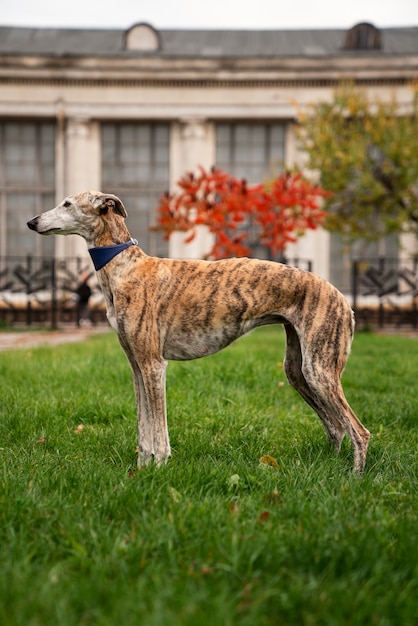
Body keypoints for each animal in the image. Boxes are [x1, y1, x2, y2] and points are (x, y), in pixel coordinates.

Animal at [27, 190, 370, 468]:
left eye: (67, 203)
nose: (31, 222)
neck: (126, 266)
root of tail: (343, 299)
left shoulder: (154, 365)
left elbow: (158, 429)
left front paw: (159, 467)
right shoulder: (136, 365)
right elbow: (143, 426)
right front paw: (141, 469)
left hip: (319, 370)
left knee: (359, 431)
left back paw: (353, 478)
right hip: (297, 370)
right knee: (336, 427)